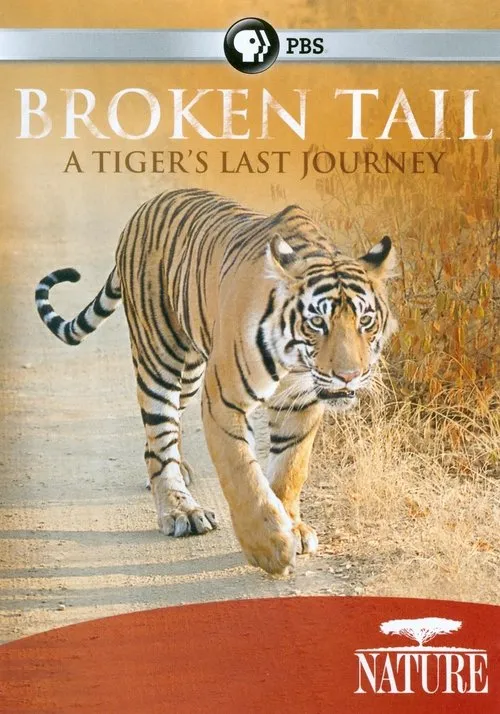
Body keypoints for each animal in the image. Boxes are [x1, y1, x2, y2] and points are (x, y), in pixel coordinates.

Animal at [35, 188, 397, 575]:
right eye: (317, 323)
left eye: (365, 321)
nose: (349, 375)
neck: (296, 363)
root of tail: (145, 207)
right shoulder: (224, 398)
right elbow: (242, 474)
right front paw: (269, 547)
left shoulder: (300, 403)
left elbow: (290, 469)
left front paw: (293, 527)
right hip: (159, 355)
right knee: (159, 436)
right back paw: (181, 510)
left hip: (190, 371)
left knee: (163, 435)